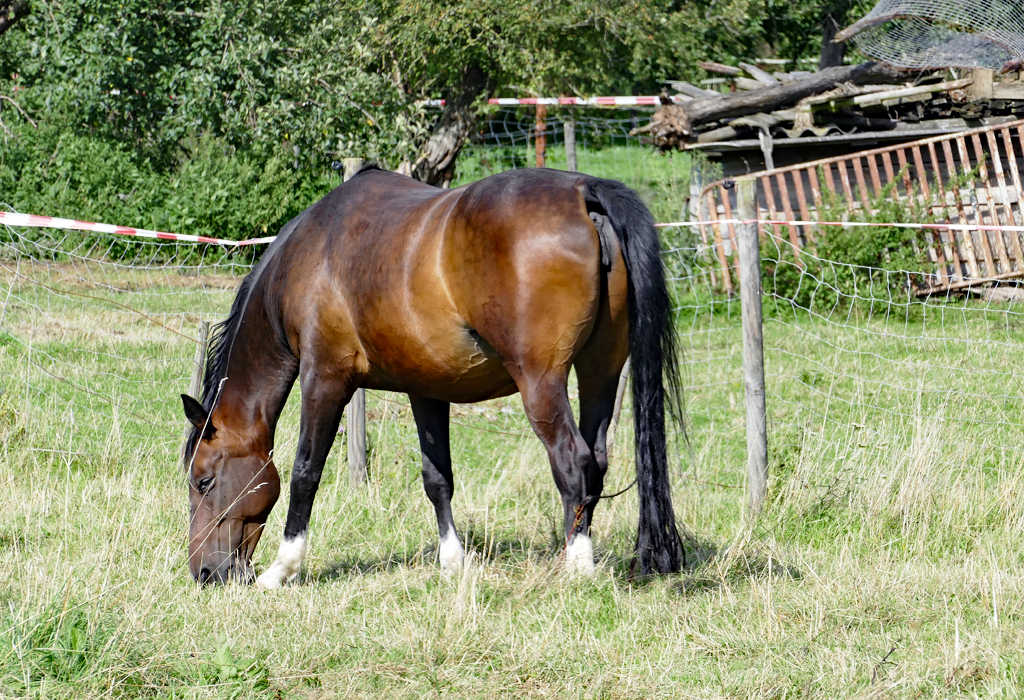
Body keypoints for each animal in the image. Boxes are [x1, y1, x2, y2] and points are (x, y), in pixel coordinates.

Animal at [181, 166, 684, 589]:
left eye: (203, 481)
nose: (204, 573)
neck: (311, 256)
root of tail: (582, 190)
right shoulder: (426, 390)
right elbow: (437, 477)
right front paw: (452, 562)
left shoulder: (324, 379)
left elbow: (306, 471)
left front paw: (282, 569)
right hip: (600, 372)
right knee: (596, 462)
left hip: (541, 384)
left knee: (573, 462)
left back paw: (577, 568)